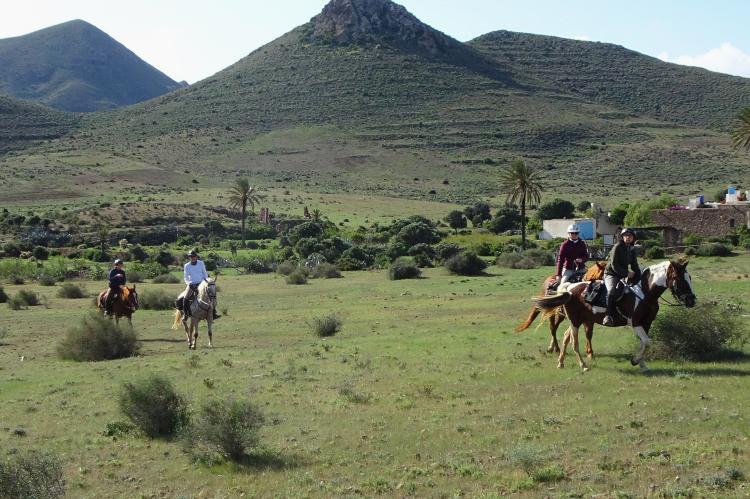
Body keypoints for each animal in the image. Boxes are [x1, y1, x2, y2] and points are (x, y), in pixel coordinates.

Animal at [524, 260, 700, 374]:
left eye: (690, 278)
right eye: (679, 279)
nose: (691, 300)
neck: (644, 292)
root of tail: (569, 288)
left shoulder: (646, 323)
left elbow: (645, 343)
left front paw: (641, 364)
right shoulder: (636, 323)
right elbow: (647, 342)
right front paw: (635, 361)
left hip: (578, 320)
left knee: (567, 337)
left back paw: (561, 363)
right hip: (575, 321)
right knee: (573, 342)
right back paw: (583, 365)